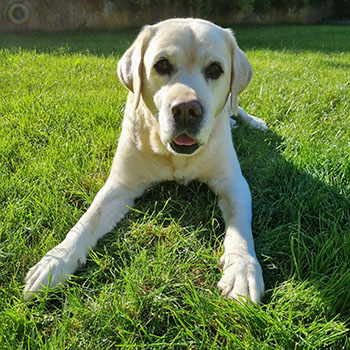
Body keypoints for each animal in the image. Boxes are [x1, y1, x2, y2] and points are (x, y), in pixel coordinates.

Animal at [24, 18, 266, 304]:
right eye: (162, 65)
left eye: (215, 69)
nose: (187, 110)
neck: (174, 155)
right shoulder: (120, 185)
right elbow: (89, 219)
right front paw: (55, 261)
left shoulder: (233, 183)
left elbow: (240, 226)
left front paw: (242, 269)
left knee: (236, 108)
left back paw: (252, 122)